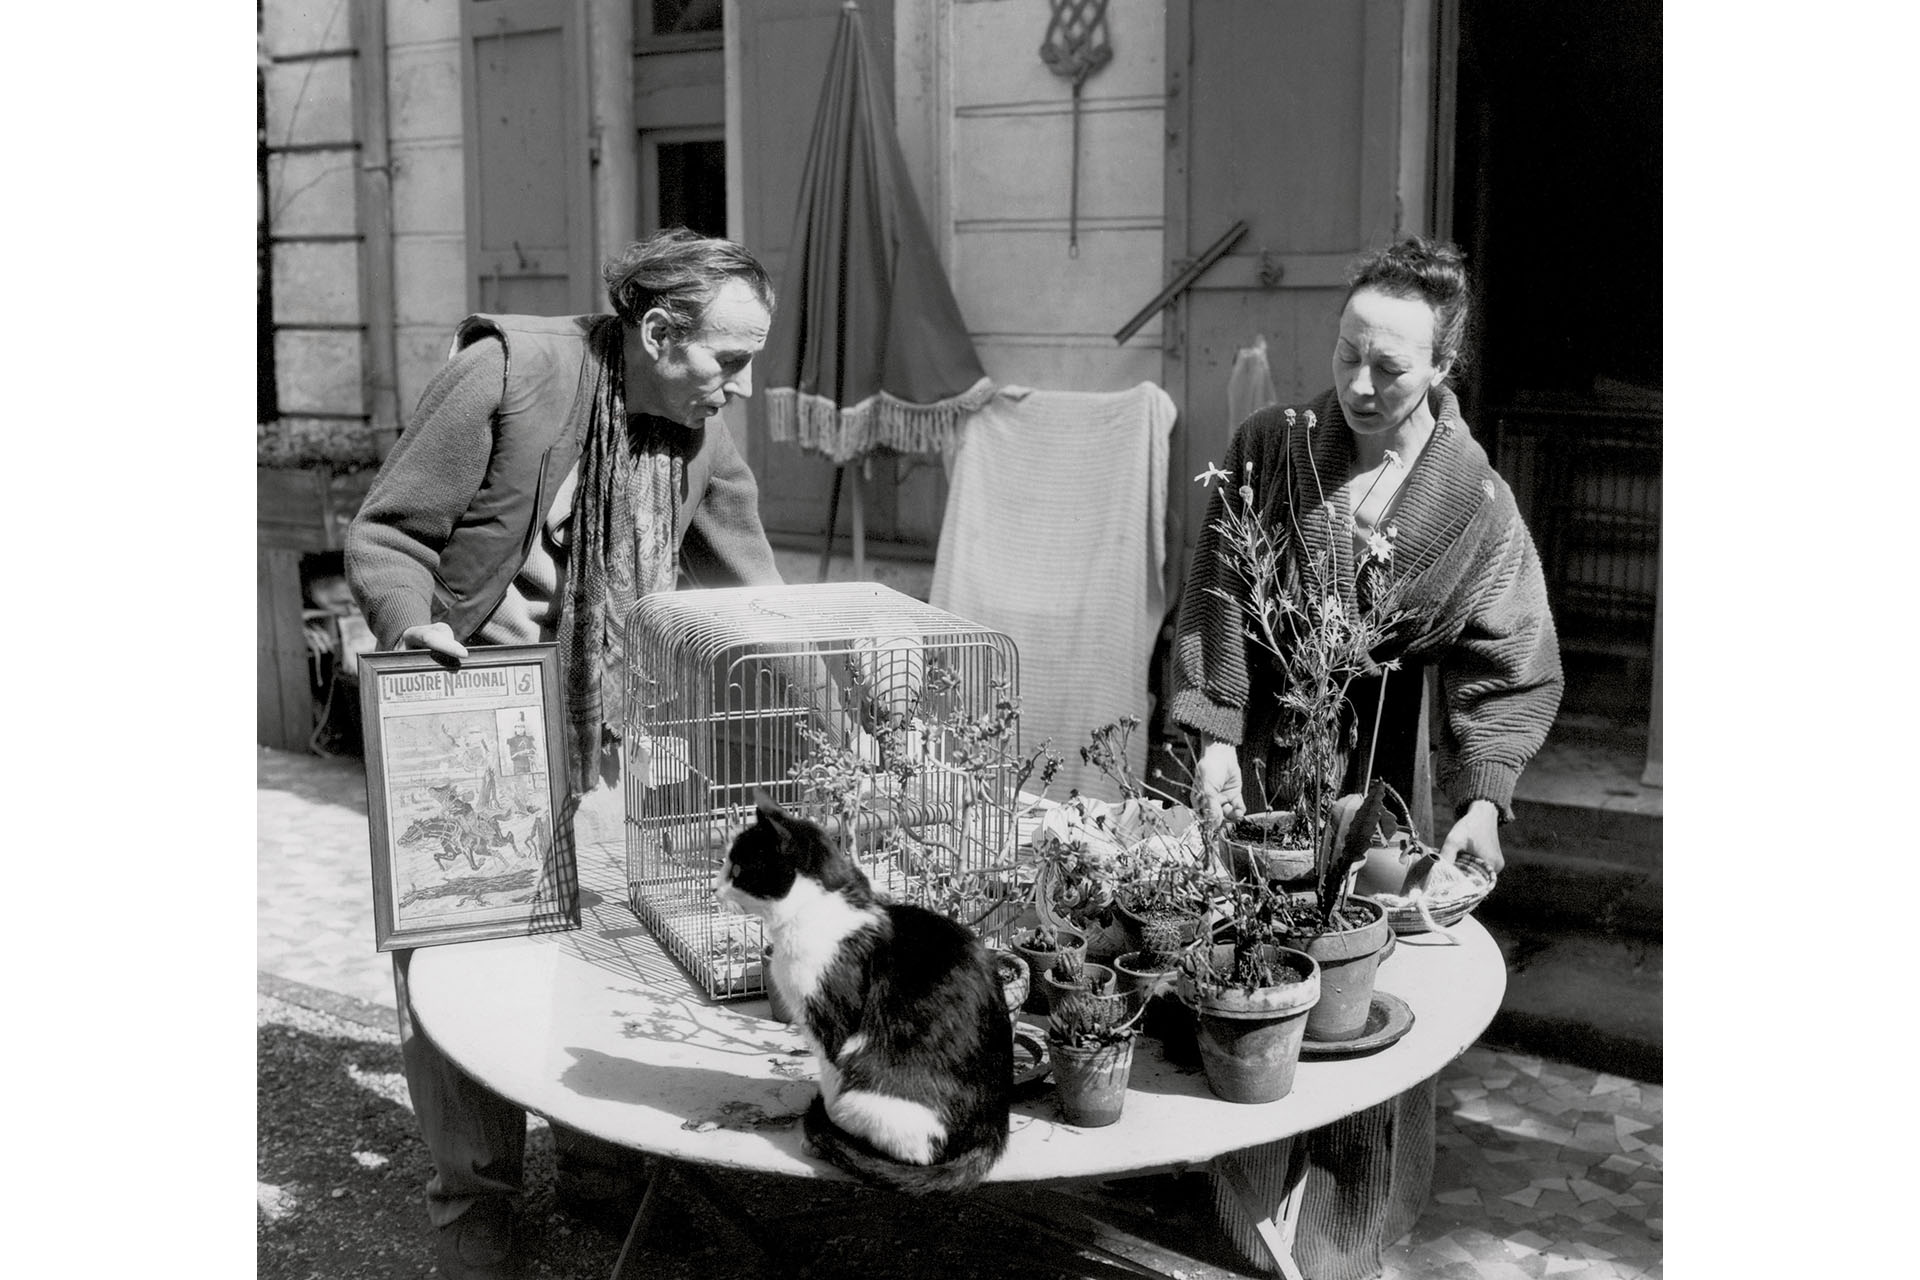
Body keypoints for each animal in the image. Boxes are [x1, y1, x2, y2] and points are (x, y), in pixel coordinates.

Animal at [718, 794, 1021, 1197]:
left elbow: (831, 1075)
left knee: (916, 1152)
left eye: (738, 869)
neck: (817, 913)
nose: (714, 890)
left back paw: (842, 1141)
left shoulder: (831, 1023)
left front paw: (828, 1122)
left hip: (877, 1096)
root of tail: (993, 1129)